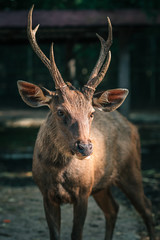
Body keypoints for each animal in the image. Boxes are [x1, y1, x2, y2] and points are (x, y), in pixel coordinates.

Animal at [17, 5, 155, 240]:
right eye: (60, 111)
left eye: (91, 113)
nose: (85, 147)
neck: (59, 171)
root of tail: (132, 126)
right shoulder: (45, 193)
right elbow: (55, 235)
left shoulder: (83, 192)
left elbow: (76, 234)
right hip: (103, 184)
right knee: (114, 208)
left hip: (131, 169)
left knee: (147, 210)